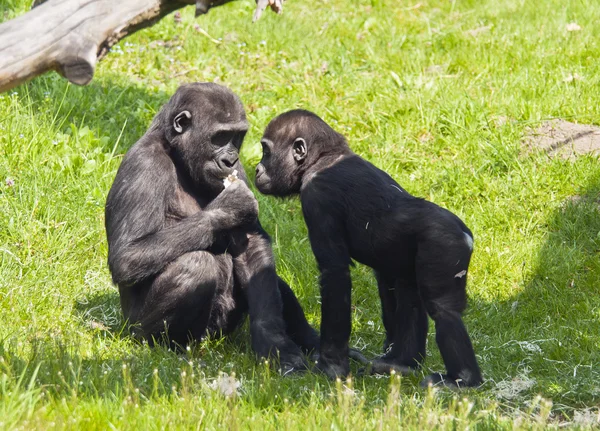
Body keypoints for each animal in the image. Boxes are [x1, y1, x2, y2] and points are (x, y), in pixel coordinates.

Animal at [103, 84, 318, 372]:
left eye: (237, 137)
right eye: (220, 137)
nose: (230, 159)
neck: (177, 155)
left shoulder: (240, 172)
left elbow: (253, 248)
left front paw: (273, 342)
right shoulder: (144, 163)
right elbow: (127, 255)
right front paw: (227, 208)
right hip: (136, 330)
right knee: (196, 266)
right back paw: (167, 348)